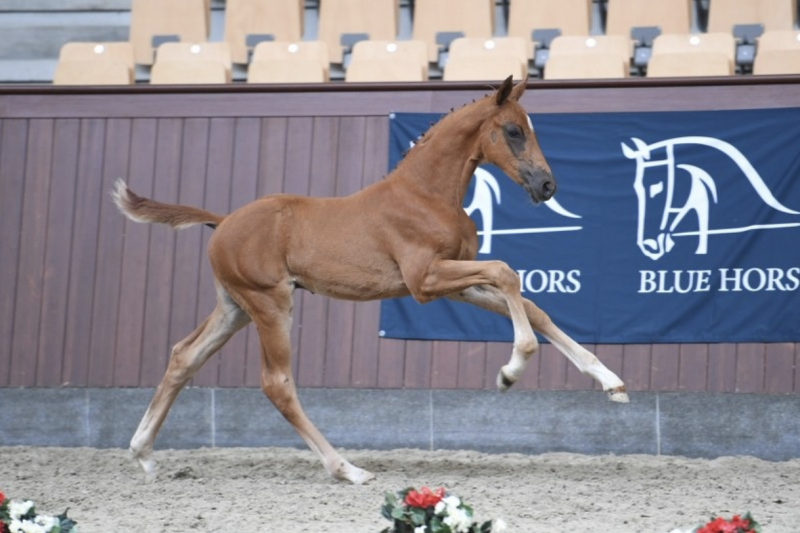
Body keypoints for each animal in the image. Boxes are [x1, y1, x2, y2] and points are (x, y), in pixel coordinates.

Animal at [112, 77, 628, 484]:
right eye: (515, 131)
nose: (547, 186)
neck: (426, 195)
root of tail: (222, 222)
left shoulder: (456, 281)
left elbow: (528, 302)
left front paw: (611, 382)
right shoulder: (424, 281)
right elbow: (507, 273)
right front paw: (510, 371)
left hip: (234, 306)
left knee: (184, 355)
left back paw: (143, 454)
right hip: (270, 304)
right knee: (277, 383)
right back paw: (348, 469)